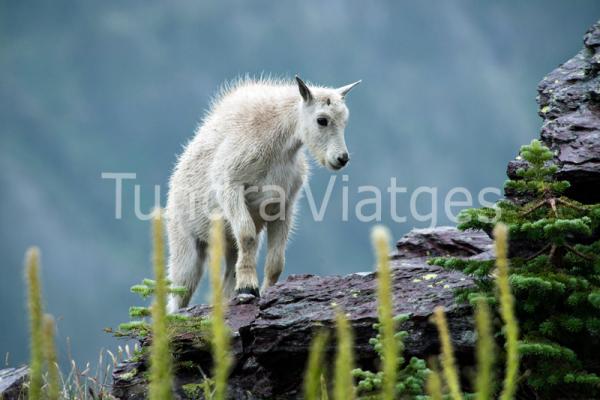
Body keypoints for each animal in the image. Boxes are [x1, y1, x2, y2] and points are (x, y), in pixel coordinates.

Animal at [165, 76, 360, 312]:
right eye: (322, 120)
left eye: (345, 121)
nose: (341, 158)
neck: (279, 146)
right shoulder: (231, 186)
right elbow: (247, 235)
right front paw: (248, 288)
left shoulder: (284, 205)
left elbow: (276, 260)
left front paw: (267, 292)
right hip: (185, 243)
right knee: (179, 292)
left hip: (227, 244)